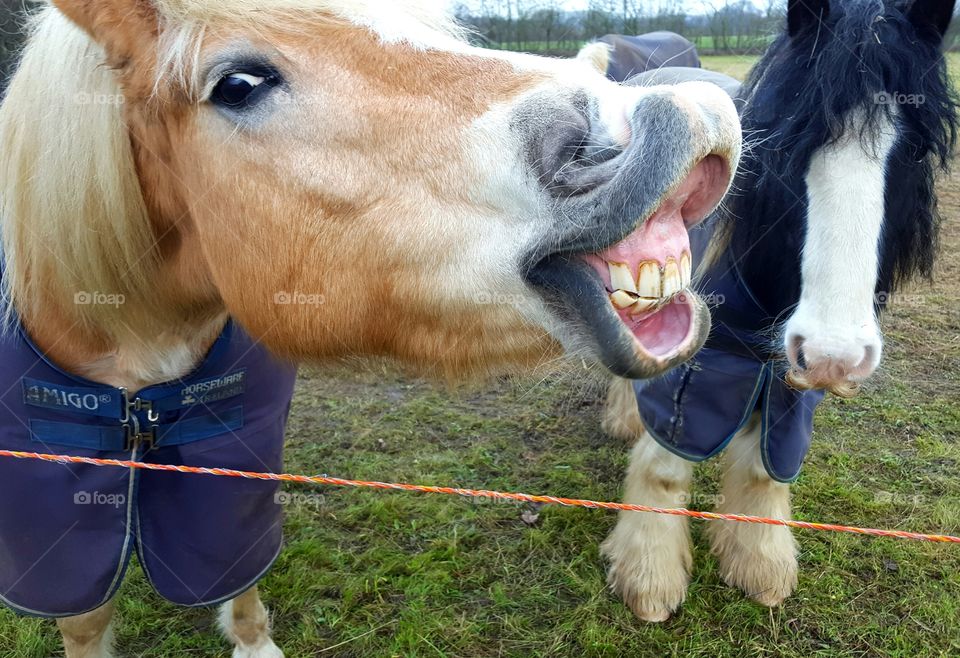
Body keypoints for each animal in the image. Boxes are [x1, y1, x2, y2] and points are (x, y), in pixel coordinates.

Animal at [600, 0, 952, 616]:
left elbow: (767, 469)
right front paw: (650, 580)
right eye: (792, 142)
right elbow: (664, 468)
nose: (835, 354)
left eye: (913, 151)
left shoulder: (784, 381)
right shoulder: (696, 371)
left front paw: (759, 564)